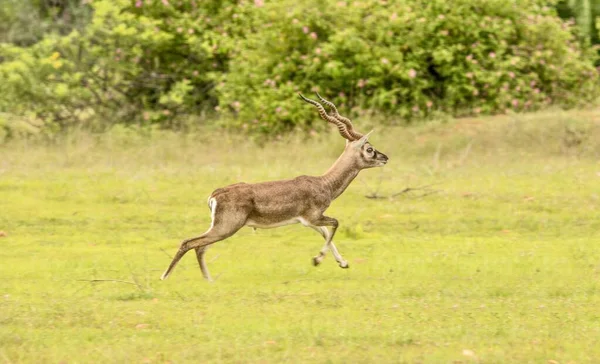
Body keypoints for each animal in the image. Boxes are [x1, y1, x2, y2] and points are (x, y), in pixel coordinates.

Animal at [161, 92, 390, 280]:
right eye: (369, 149)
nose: (385, 157)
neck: (323, 183)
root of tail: (215, 194)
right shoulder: (313, 217)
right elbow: (335, 224)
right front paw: (317, 260)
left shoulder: (307, 221)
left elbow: (325, 232)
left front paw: (342, 263)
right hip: (226, 228)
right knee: (189, 243)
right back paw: (166, 277)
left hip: (219, 227)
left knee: (200, 247)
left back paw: (208, 280)